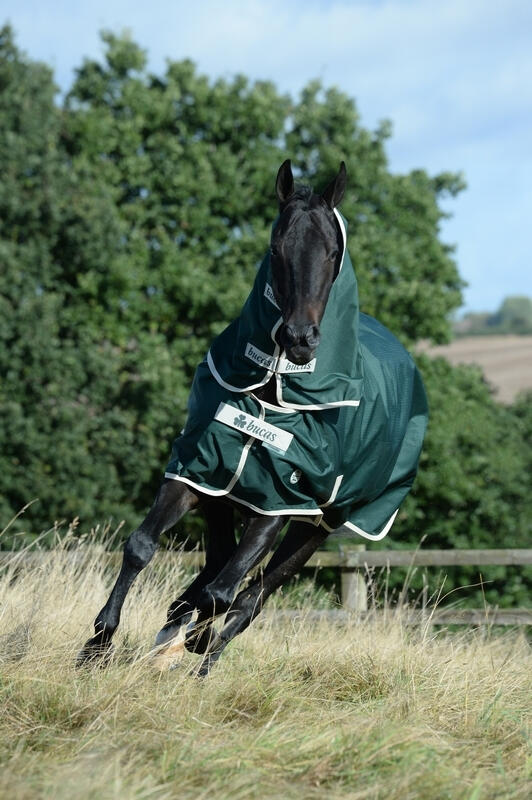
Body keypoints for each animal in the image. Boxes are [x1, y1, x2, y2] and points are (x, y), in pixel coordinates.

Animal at [78, 160, 428, 676]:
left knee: (250, 598)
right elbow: (142, 547)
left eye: (333, 253)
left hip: (318, 527)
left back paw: (200, 656)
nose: (300, 339)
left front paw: (191, 642)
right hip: (226, 503)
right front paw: (97, 646)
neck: (272, 398)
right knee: (215, 576)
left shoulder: (277, 506)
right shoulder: (198, 474)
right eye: (276, 247)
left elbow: (225, 594)